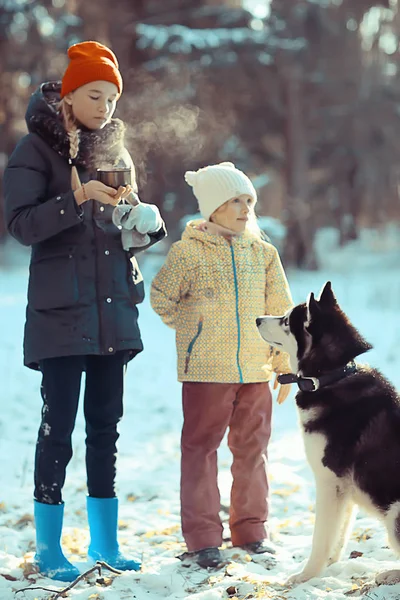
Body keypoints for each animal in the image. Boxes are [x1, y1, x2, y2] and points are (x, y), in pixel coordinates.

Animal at [256, 282, 400, 584]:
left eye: (286, 321)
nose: (257, 319)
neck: (331, 377)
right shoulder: (341, 490)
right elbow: (338, 536)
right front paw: (329, 567)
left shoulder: (329, 482)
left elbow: (320, 537)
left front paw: (306, 576)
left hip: (395, 513)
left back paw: (389, 574)